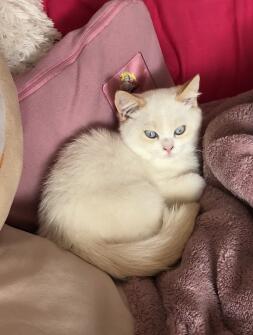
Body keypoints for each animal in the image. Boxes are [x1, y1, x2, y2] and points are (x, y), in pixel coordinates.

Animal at [39, 75, 206, 278]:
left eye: (180, 130)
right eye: (151, 134)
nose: (168, 148)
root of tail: (69, 238)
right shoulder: (163, 185)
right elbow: (196, 182)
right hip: (147, 196)